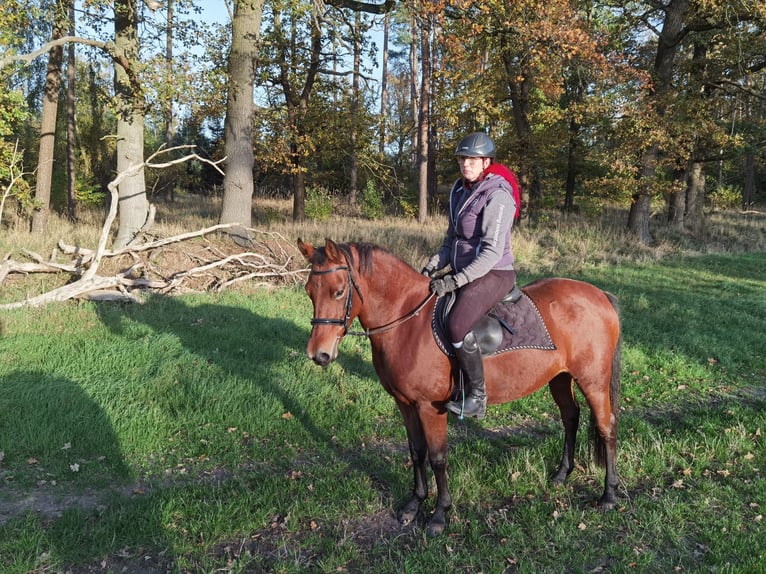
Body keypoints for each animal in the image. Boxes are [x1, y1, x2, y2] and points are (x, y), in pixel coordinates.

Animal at [296, 240, 620, 540]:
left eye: (339, 292)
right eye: (309, 291)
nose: (318, 354)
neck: (408, 322)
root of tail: (599, 294)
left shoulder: (430, 407)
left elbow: (438, 458)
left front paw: (440, 515)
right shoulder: (405, 404)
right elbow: (417, 452)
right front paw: (413, 505)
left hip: (593, 380)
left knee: (606, 426)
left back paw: (609, 495)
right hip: (560, 377)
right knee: (571, 417)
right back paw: (562, 474)